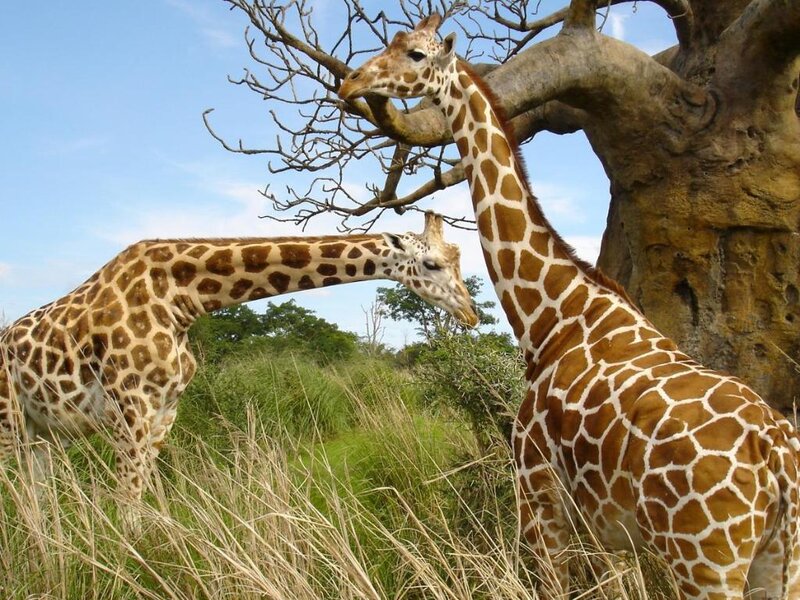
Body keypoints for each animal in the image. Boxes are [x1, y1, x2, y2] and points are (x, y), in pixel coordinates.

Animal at [0, 212, 478, 510]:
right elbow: (128, 502)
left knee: (35, 501)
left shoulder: (164, 411)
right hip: (9, 422)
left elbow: (147, 498)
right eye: (432, 264)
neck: (180, 299)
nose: (471, 314)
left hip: (43, 435)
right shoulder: (130, 407)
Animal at [339, 15, 800, 600]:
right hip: (777, 560)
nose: (350, 82)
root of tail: (778, 459)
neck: (551, 313)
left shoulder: (537, 491)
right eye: (393, 43)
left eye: (416, 54)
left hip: (705, 560)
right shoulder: (605, 528)